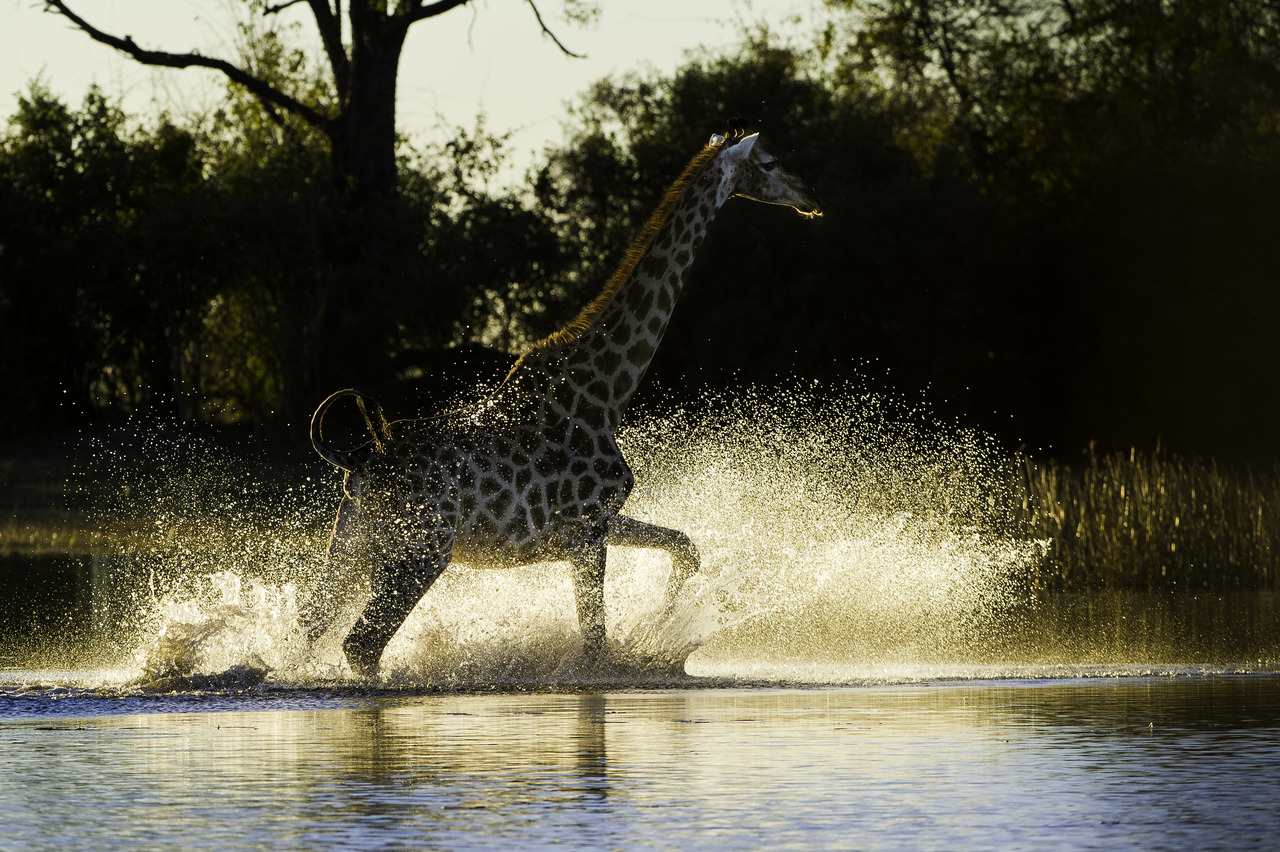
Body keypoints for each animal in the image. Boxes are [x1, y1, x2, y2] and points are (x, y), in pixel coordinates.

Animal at [304, 130, 822, 678]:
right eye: (771, 161)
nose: (811, 197)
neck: (608, 392)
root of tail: (359, 459)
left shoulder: (588, 528)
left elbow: (685, 546)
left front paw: (659, 629)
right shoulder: (589, 530)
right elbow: (594, 645)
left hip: (352, 545)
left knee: (309, 628)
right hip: (424, 549)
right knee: (361, 644)